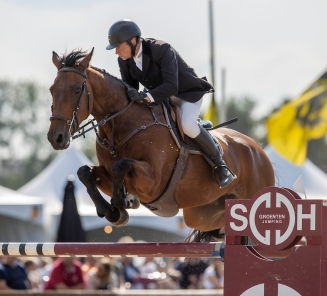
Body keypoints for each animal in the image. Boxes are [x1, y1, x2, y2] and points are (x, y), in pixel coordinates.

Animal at [47, 48, 276, 242]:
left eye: (77, 89)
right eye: (51, 90)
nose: (55, 138)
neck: (121, 126)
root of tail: (258, 149)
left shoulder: (152, 183)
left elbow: (121, 164)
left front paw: (122, 202)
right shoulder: (107, 173)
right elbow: (84, 172)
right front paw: (113, 211)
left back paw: (224, 174)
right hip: (201, 214)